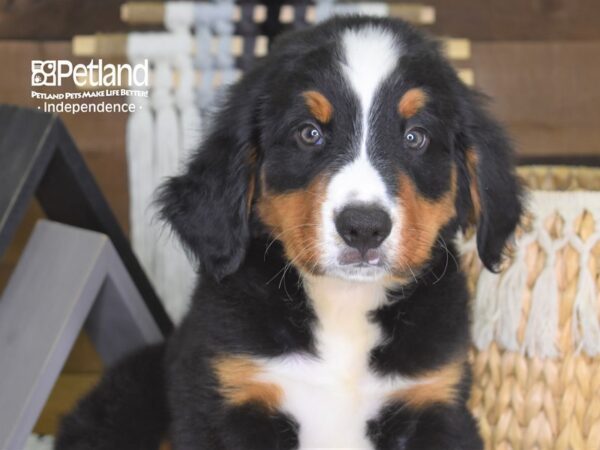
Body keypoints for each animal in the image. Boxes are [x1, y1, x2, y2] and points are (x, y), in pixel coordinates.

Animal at [58, 14, 524, 450]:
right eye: (309, 133)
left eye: (415, 137)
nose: (364, 228)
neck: (344, 306)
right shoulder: (229, 397)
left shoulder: (434, 400)